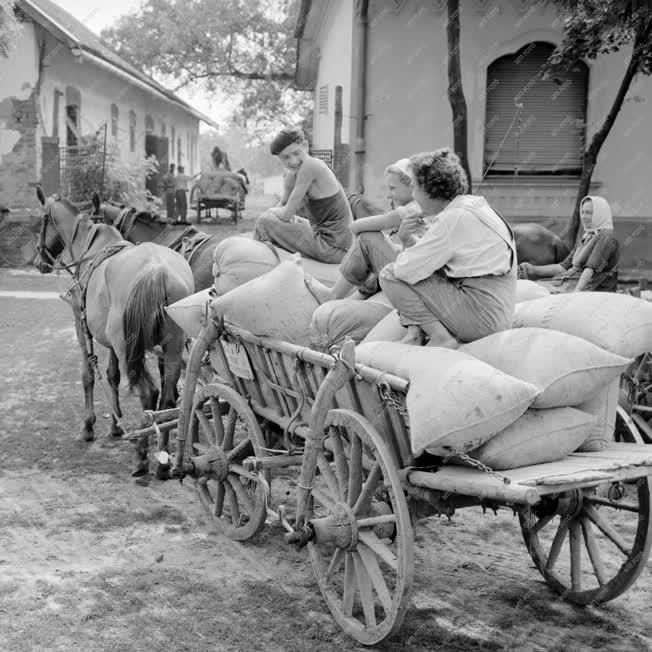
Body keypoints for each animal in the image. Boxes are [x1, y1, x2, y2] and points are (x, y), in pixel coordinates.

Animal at [34, 188, 195, 474]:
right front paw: (115, 425)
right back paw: (163, 459)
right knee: (165, 398)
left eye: (41, 220)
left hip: (127, 347)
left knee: (149, 393)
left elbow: (88, 375)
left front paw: (88, 426)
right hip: (171, 346)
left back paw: (141, 457)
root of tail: (157, 269)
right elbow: (112, 376)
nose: (37, 260)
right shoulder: (110, 343)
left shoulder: (82, 327)